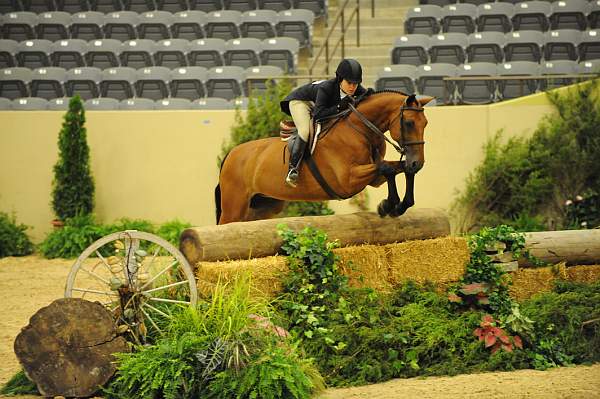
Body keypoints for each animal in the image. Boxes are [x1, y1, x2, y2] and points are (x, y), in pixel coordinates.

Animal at [216, 92, 432, 227]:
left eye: (426, 124)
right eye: (409, 123)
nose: (418, 162)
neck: (360, 129)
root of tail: (231, 154)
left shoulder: (373, 178)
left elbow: (395, 168)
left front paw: (398, 205)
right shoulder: (347, 181)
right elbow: (388, 168)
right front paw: (390, 205)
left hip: (264, 205)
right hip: (235, 206)